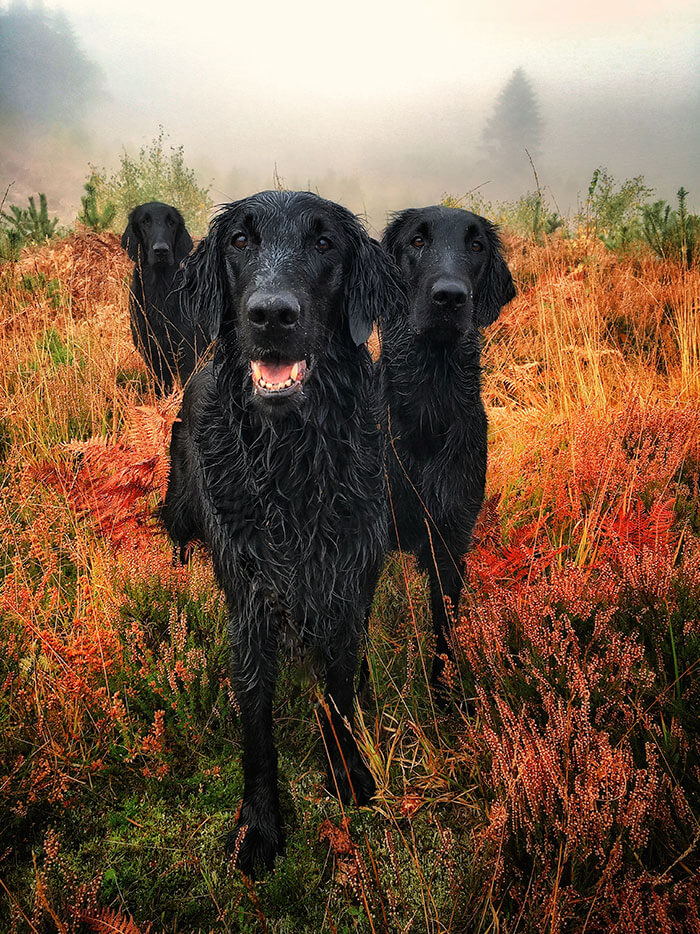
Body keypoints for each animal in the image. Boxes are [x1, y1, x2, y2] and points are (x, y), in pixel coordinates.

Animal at [119, 203, 202, 394]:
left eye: (171, 222)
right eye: (145, 221)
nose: (161, 250)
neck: (160, 290)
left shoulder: (189, 354)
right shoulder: (152, 355)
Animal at [159, 190, 400, 876]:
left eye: (324, 243)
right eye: (241, 241)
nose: (270, 314)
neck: (291, 463)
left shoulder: (346, 589)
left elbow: (339, 696)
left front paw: (348, 774)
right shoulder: (251, 605)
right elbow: (257, 731)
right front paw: (261, 827)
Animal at [380, 207, 516, 704]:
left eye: (476, 246)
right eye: (417, 241)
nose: (450, 297)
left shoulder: (451, 537)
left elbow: (444, 628)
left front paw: (444, 698)